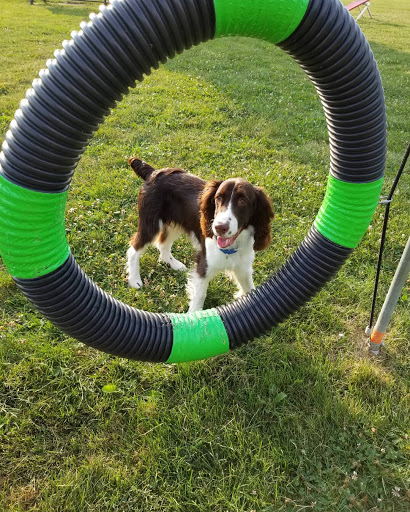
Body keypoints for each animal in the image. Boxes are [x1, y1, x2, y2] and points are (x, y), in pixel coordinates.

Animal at [125, 158, 272, 312]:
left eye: (242, 201)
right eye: (218, 198)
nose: (219, 228)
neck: (231, 247)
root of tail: (154, 172)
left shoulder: (243, 267)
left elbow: (250, 288)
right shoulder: (203, 264)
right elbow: (200, 295)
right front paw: (194, 315)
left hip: (175, 224)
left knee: (163, 244)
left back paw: (174, 264)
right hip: (151, 223)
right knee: (134, 249)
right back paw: (135, 280)